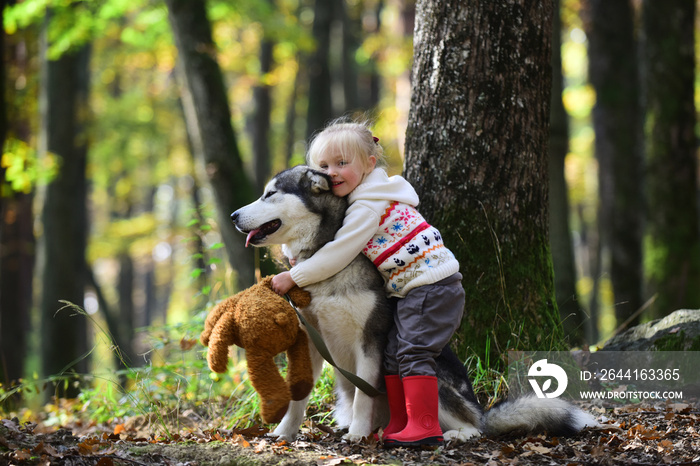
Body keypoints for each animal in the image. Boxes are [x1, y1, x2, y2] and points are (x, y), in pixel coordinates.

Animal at [230, 166, 596, 442]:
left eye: (270, 194)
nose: (233, 215)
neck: (324, 251)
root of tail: (480, 408)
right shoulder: (310, 339)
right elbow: (299, 394)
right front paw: (284, 432)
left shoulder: (370, 340)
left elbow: (364, 396)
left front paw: (357, 435)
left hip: (442, 385)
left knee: (472, 425)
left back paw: (451, 434)